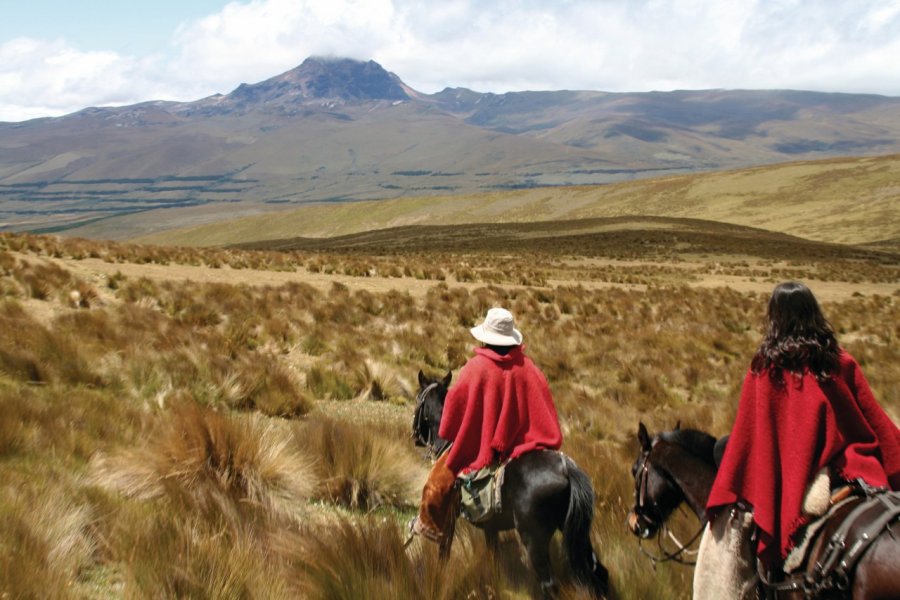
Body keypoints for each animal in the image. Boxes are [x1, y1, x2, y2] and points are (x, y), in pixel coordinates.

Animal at [412, 370, 608, 600]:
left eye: (417, 398)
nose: (415, 437)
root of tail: (567, 469)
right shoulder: (491, 527)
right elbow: (493, 557)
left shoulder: (449, 519)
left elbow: (444, 552)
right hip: (577, 533)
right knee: (598, 573)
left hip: (534, 538)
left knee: (549, 584)